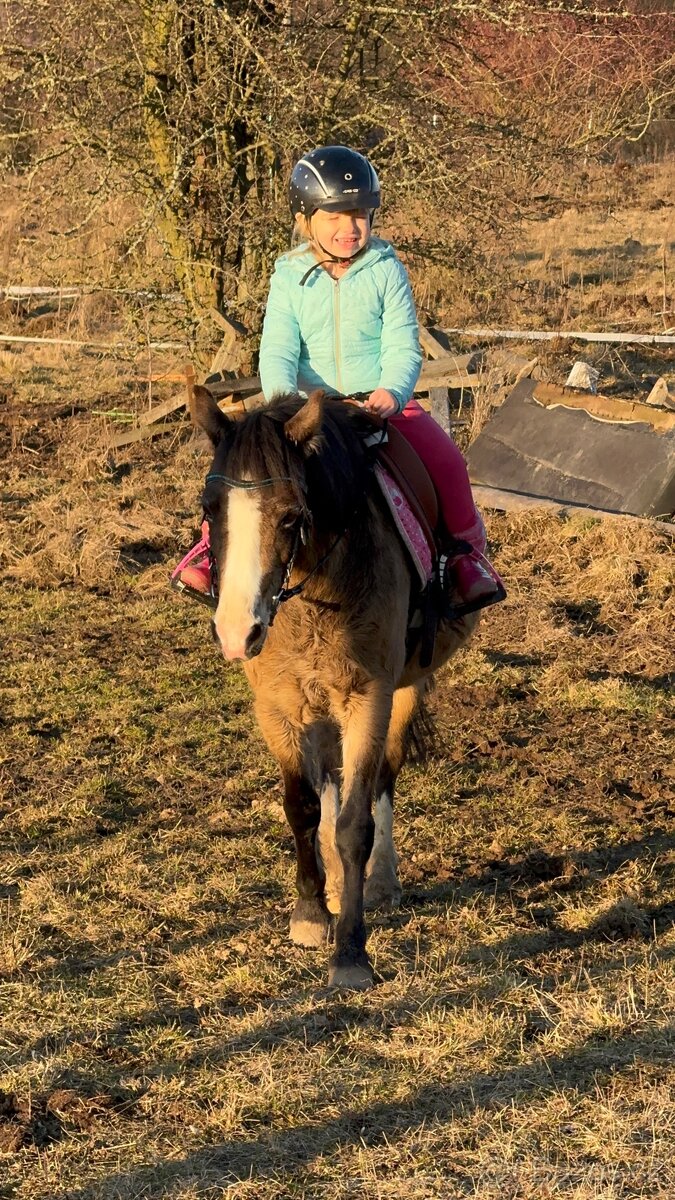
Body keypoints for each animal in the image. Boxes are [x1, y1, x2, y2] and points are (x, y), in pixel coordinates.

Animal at [191, 385, 478, 989]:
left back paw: (380, 881)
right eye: (210, 510)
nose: (236, 631)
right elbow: (301, 806)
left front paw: (350, 950)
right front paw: (310, 912)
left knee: (382, 780)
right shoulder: (277, 707)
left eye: (290, 516)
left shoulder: (368, 699)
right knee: (325, 786)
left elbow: (355, 823)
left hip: (404, 688)